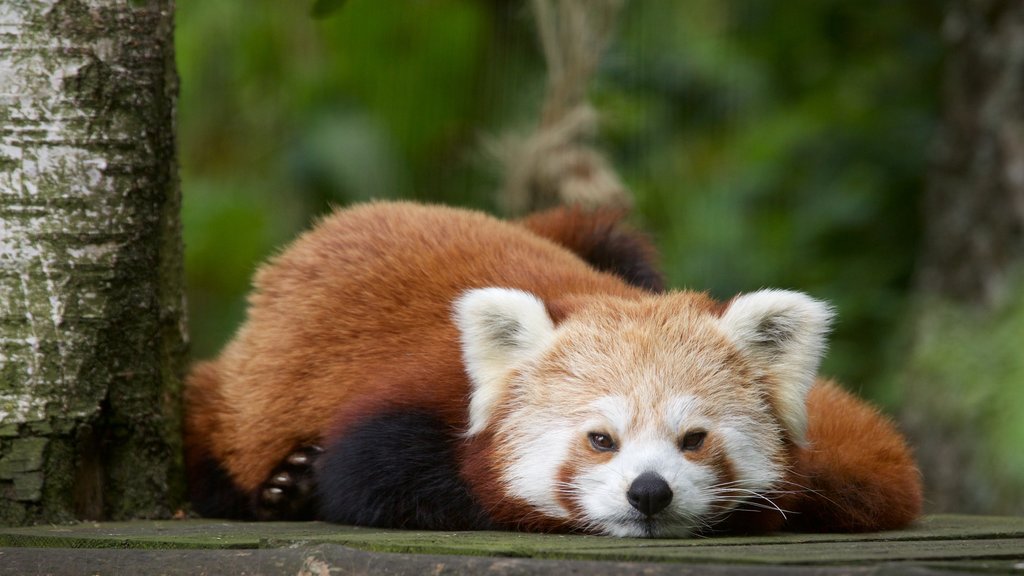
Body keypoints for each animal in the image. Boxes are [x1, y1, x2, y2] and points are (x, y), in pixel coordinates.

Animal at [182, 200, 921, 532]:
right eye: (600, 440)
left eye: (694, 439)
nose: (649, 493)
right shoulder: (412, 397)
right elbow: (372, 478)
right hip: (232, 395)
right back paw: (284, 485)